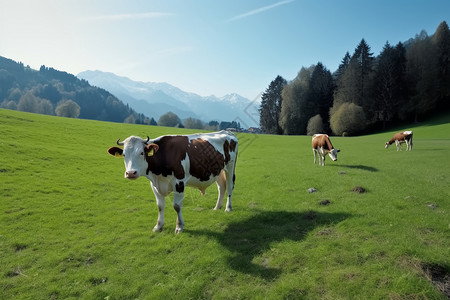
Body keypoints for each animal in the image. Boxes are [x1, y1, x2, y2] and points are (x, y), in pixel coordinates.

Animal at [107, 130, 239, 233]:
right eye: (124, 154)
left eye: (141, 153)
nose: (130, 173)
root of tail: (227, 132)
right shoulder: (154, 184)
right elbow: (160, 206)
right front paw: (158, 226)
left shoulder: (179, 182)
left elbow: (177, 206)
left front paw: (179, 227)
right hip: (218, 170)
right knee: (221, 187)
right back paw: (217, 207)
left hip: (230, 166)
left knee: (229, 186)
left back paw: (228, 208)